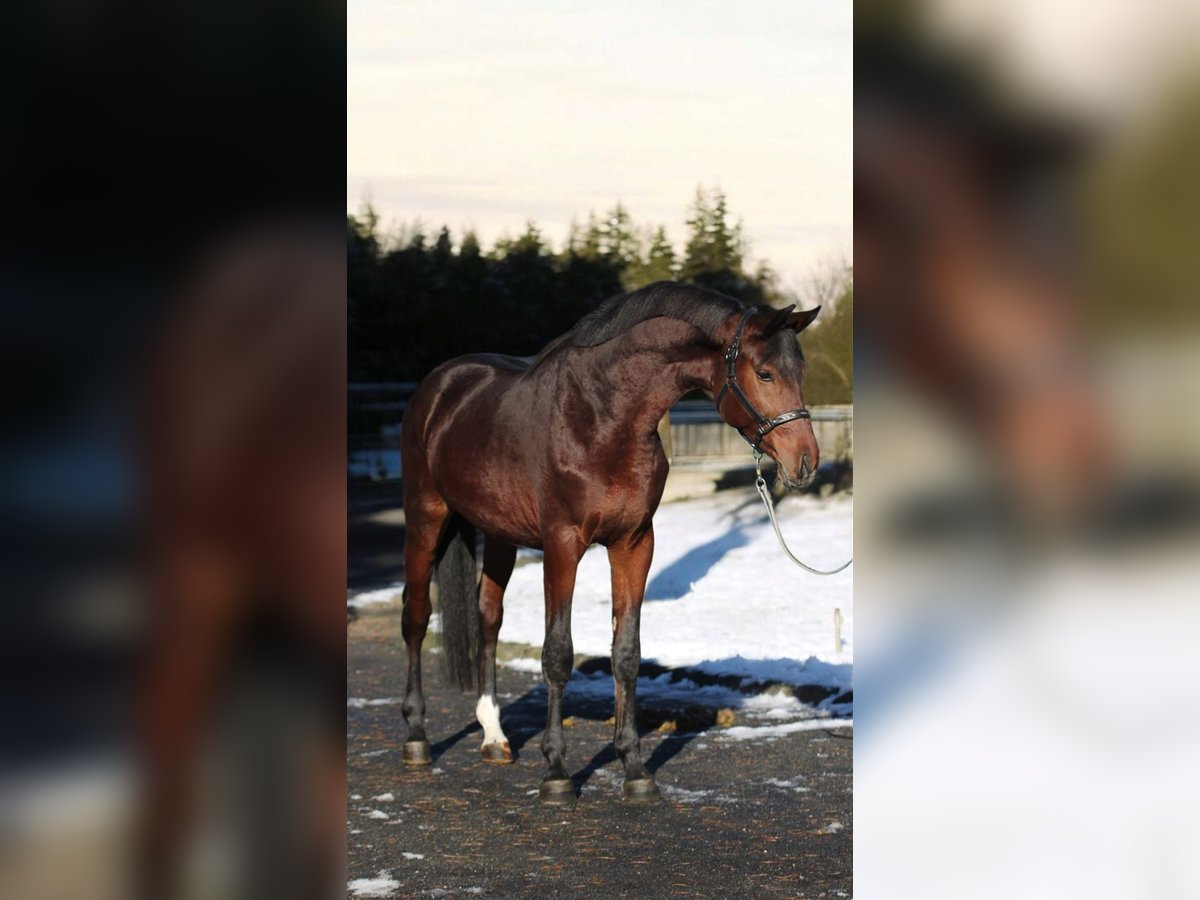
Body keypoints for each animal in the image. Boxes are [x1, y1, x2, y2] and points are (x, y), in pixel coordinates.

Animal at [398, 282, 820, 801]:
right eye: (764, 373)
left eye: (800, 372)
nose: (806, 460)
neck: (602, 417)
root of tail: (438, 386)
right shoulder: (562, 545)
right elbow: (558, 653)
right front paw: (557, 772)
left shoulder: (635, 544)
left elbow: (627, 653)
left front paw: (634, 768)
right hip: (425, 518)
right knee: (416, 617)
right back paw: (417, 737)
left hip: (498, 534)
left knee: (488, 617)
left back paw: (494, 737)